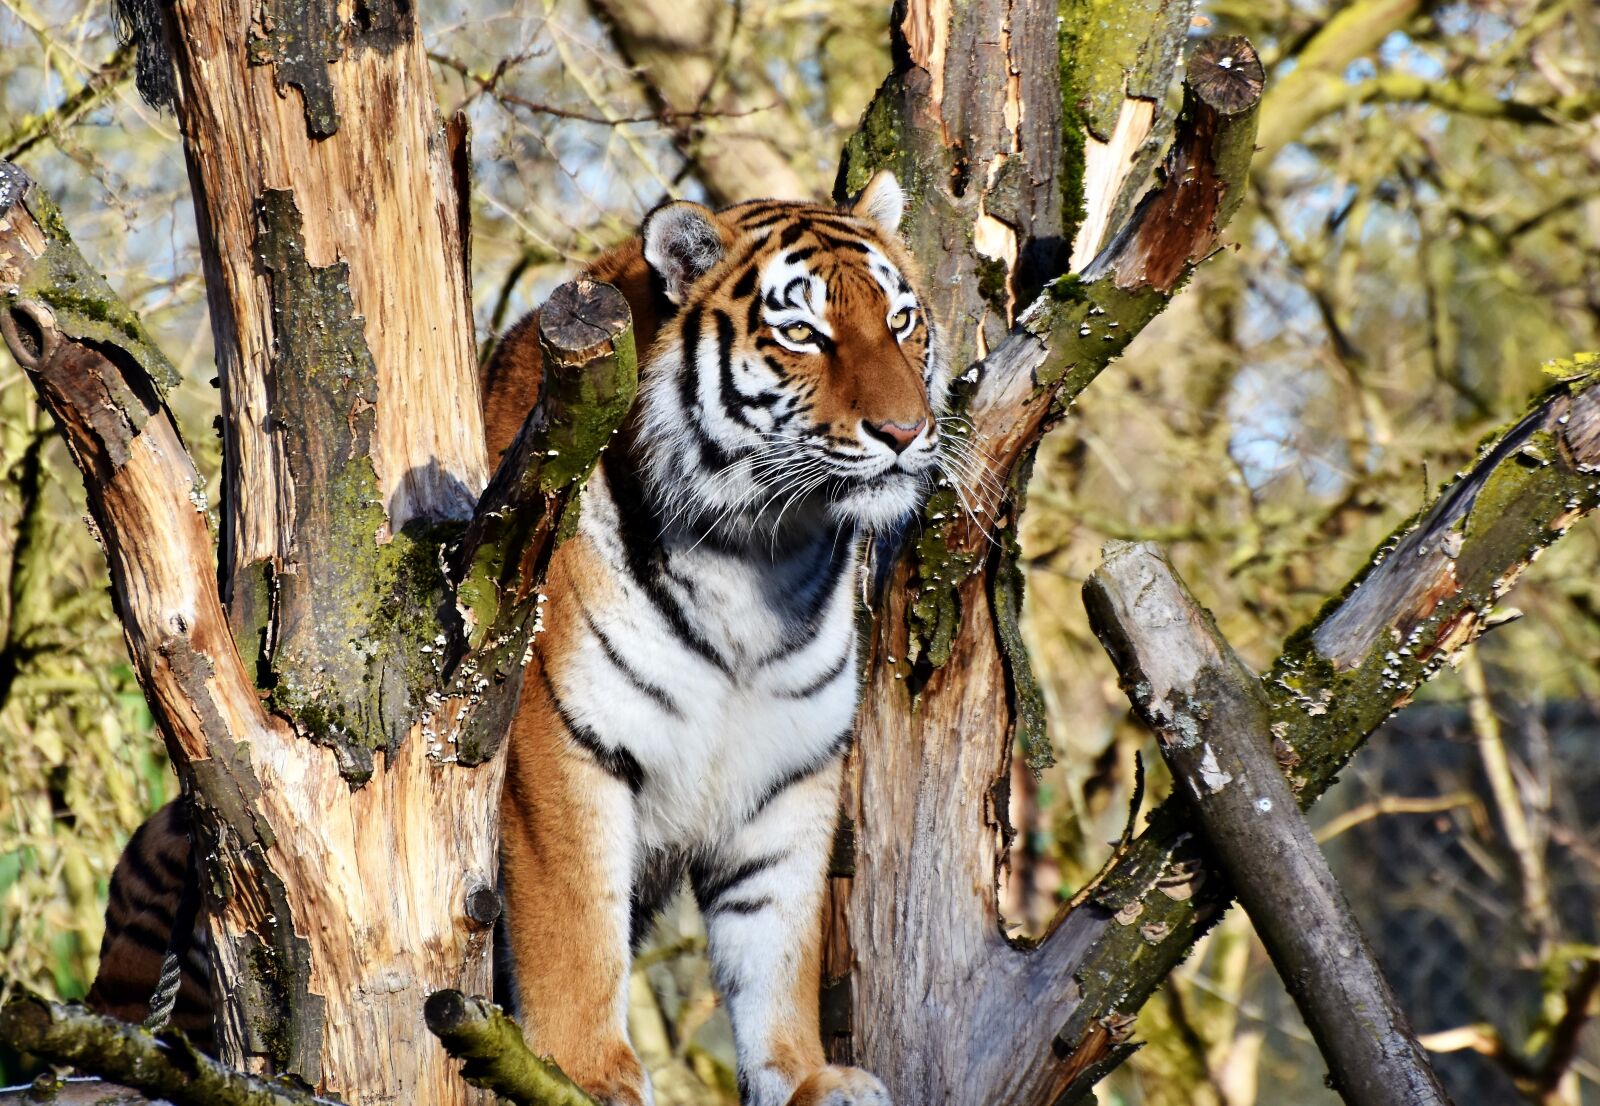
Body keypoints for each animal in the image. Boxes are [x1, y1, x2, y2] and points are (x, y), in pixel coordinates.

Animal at [86, 170, 948, 1106]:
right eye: (802, 334)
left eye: (901, 322)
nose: (906, 434)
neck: (758, 560)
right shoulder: (557, 744)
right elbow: (577, 929)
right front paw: (588, 1075)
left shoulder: (791, 769)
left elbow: (777, 944)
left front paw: (807, 1077)